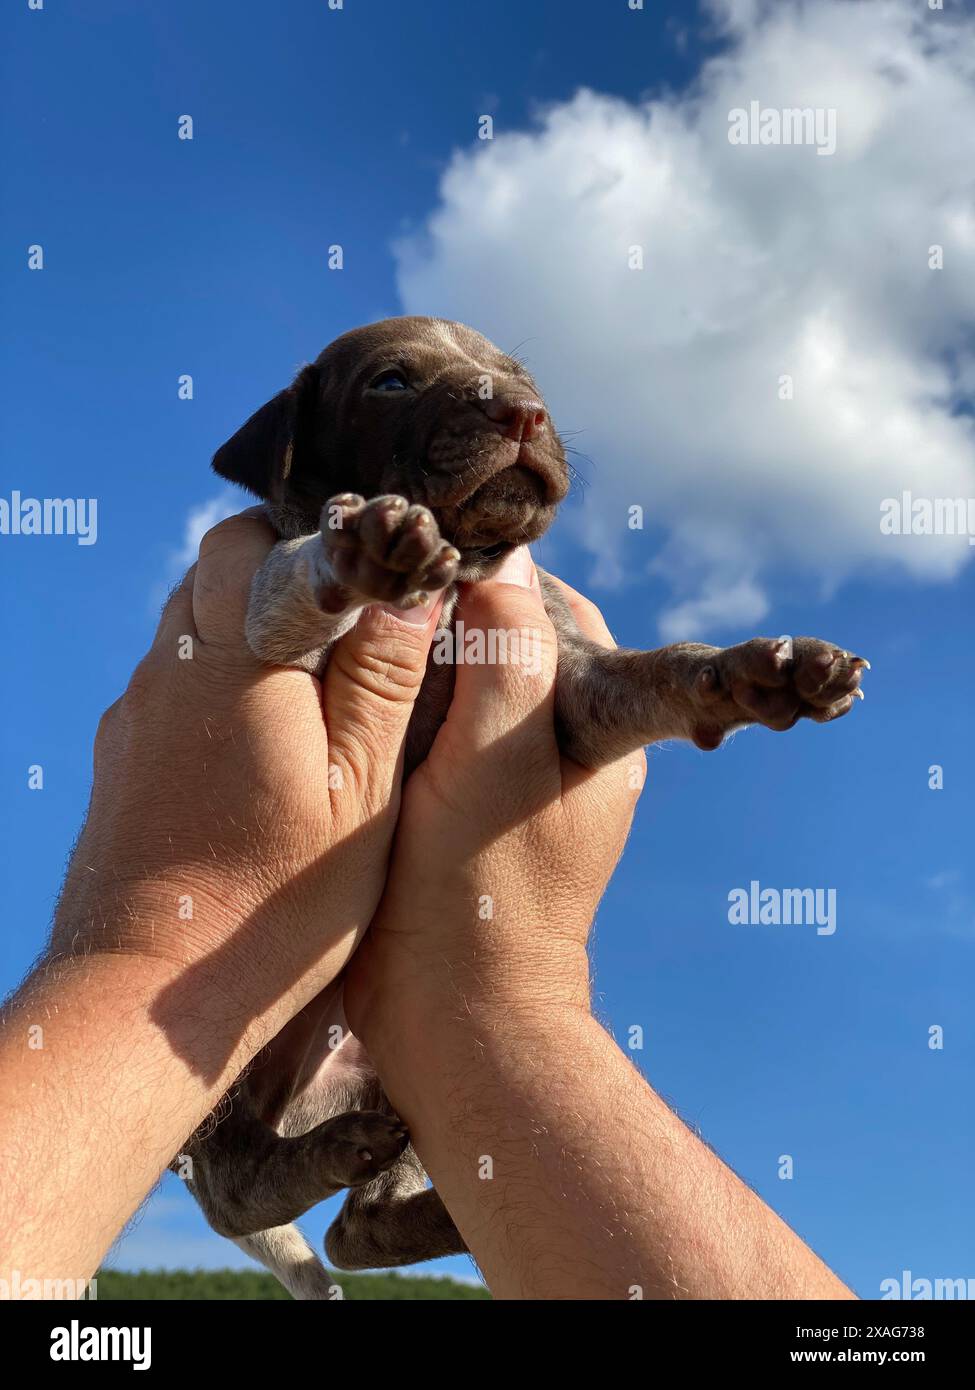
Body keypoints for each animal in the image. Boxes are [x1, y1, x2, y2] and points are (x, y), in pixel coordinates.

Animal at [176, 312, 867, 1289]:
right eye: (391, 382)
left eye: (522, 377)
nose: (524, 413)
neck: (463, 574)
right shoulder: (267, 632)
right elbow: (297, 579)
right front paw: (356, 546)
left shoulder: (572, 688)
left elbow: (664, 668)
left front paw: (757, 670)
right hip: (246, 1063)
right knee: (238, 1179)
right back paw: (327, 1159)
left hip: (405, 1067)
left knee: (361, 1226)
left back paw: (446, 1212)